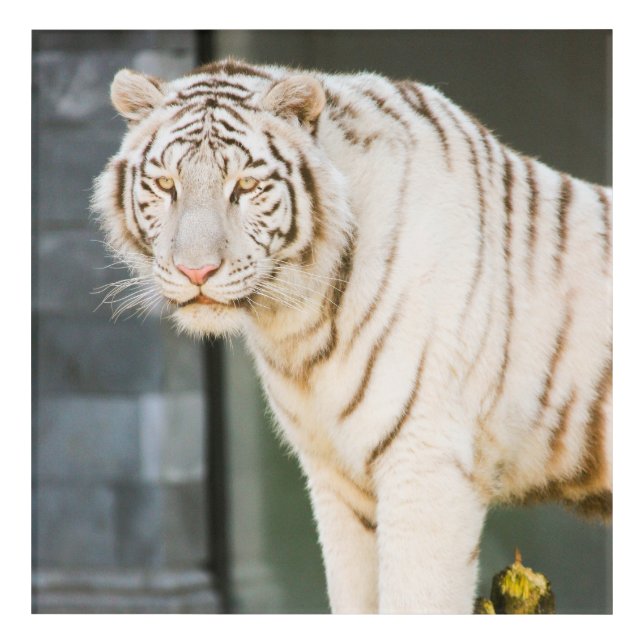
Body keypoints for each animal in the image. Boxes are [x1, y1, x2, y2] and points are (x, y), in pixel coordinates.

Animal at [92, 57, 612, 614]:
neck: (298, 324)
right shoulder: (336, 479)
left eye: (246, 186)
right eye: (166, 184)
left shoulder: (427, 465)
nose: (196, 271)